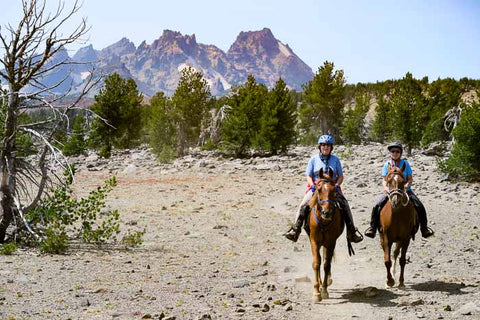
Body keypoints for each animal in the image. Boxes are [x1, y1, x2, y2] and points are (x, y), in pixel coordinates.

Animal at [310, 168, 344, 302]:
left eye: (333, 189)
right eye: (318, 189)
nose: (326, 212)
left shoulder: (330, 242)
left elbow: (326, 264)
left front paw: (324, 290)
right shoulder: (314, 241)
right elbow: (316, 263)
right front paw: (316, 292)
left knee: (325, 259)